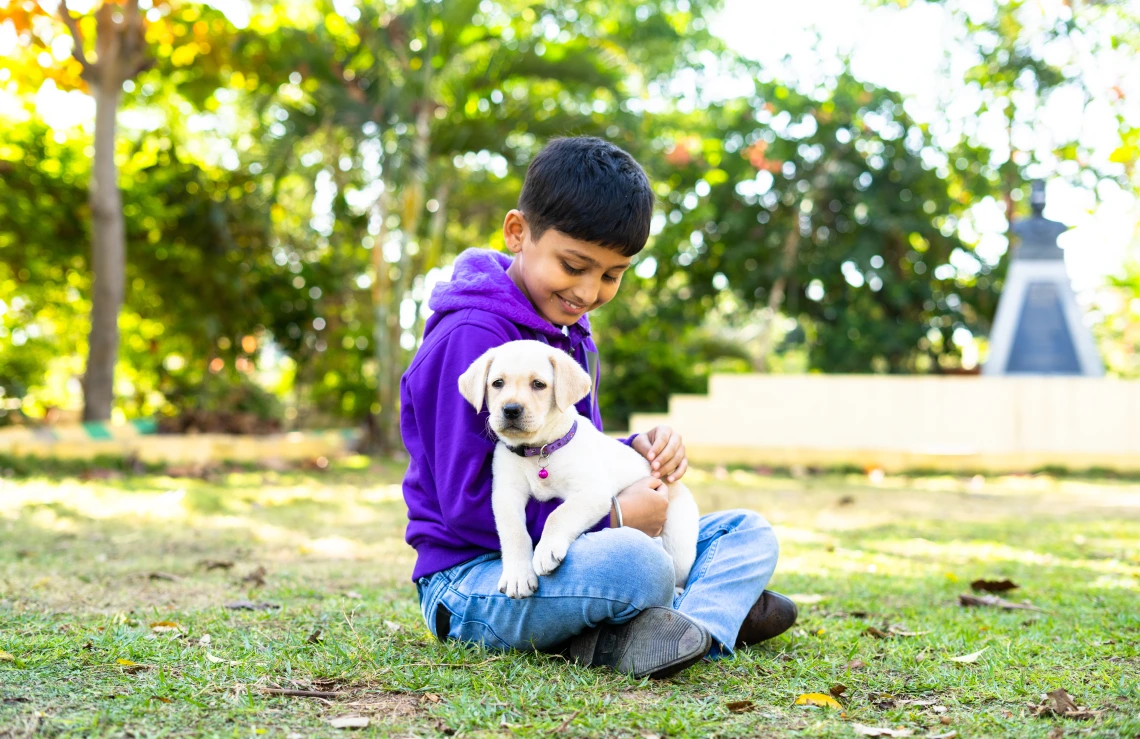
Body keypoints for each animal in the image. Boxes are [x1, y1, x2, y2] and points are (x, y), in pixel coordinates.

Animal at [458, 339, 697, 602]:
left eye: (538, 384)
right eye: (497, 383)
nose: (510, 409)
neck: (539, 451)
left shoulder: (592, 492)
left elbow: (557, 515)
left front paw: (546, 550)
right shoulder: (506, 494)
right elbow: (514, 531)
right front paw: (518, 575)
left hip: (678, 539)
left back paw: (677, 589)